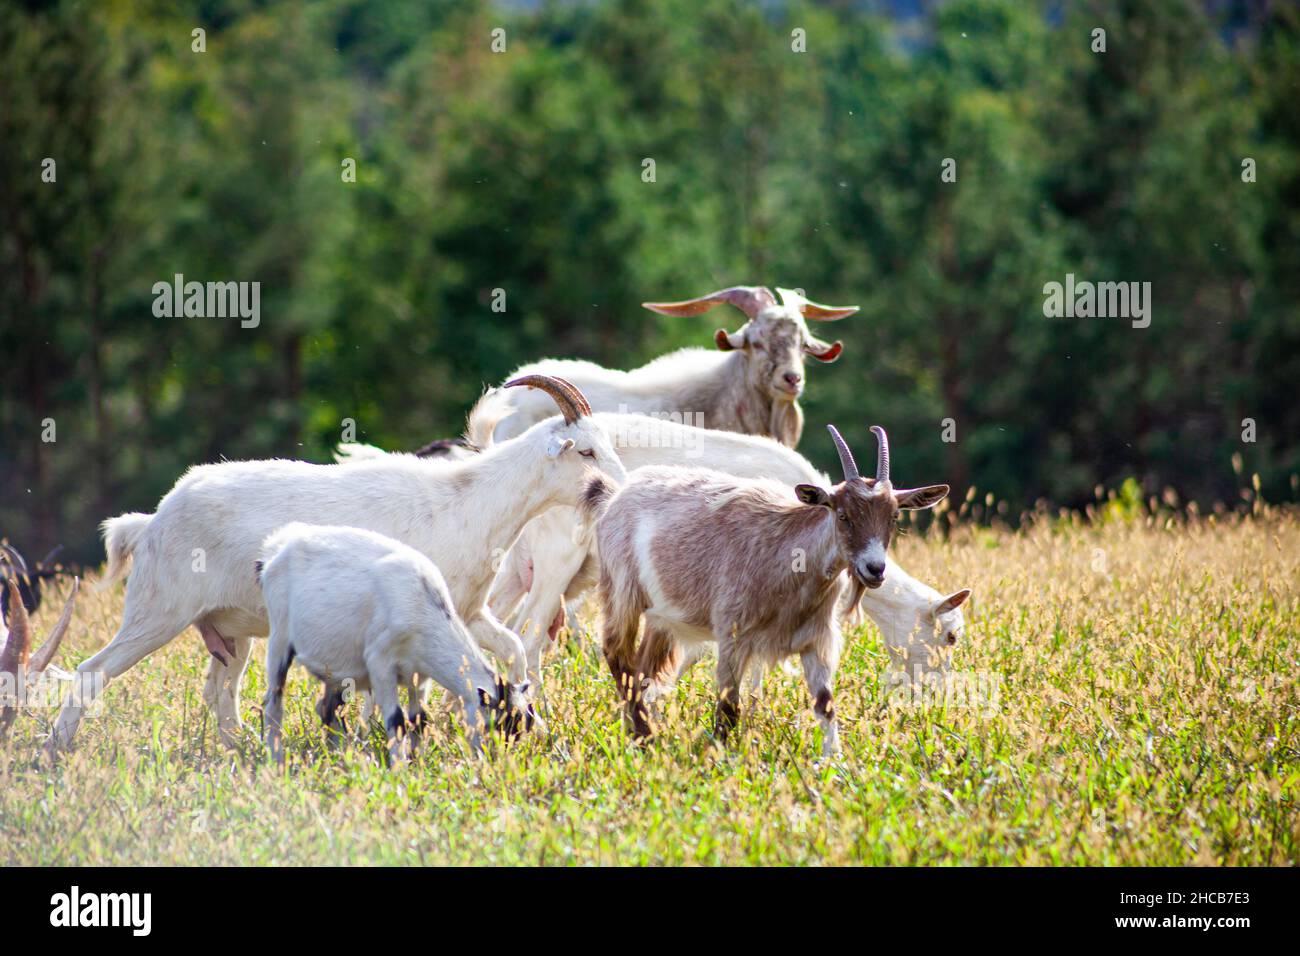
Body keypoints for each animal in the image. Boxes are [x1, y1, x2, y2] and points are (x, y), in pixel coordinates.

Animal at [258, 523, 537, 764]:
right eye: (496, 725)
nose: (493, 761)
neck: (424, 609)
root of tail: (275, 548)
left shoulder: (420, 675)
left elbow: (419, 719)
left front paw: (416, 761)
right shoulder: (380, 662)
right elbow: (396, 719)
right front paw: (400, 768)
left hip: (333, 663)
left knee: (328, 708)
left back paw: (338, 755)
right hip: (279, 633)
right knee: (273, 702)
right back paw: (276, 758)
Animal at [595, 425, 948, 756]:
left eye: (894, 516)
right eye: (842, 514)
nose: (875, 569)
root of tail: (618, 497)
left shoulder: (815, 639)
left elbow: (825, 705)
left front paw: (833, 760)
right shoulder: (733, 635)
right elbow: (729, 708)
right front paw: (719, 756)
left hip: (662, 617)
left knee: (641, 669)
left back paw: (637, 731)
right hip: (622, 590)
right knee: (617, 654)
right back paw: (644, 737)